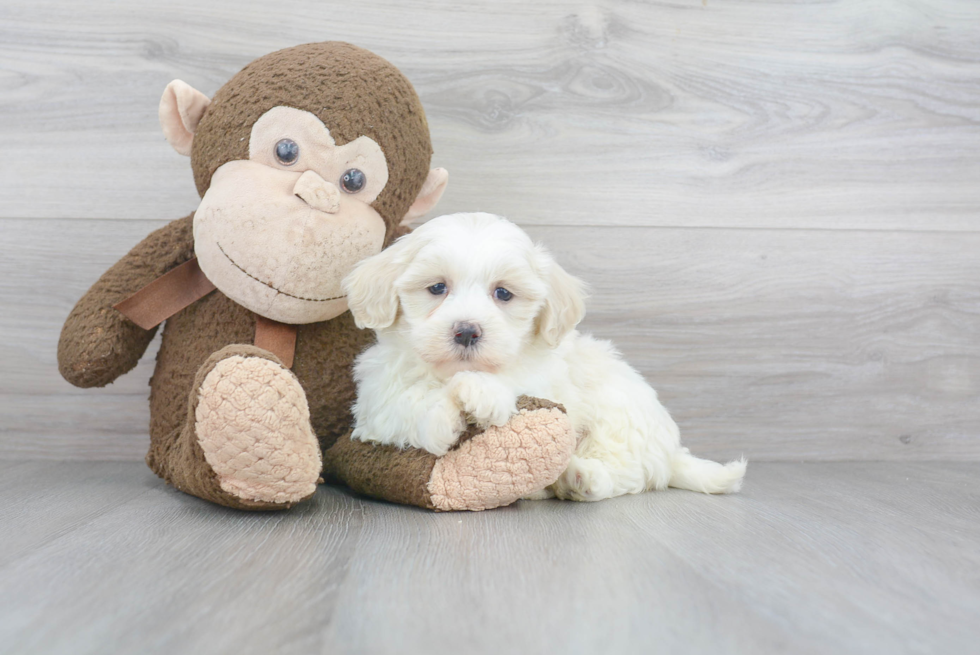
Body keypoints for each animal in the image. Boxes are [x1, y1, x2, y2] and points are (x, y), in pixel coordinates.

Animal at [340, 213, 748, 500]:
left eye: (503, 294)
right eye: (437, 287)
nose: (467, 331)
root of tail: (672, 452)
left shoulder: (543, 382)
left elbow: (511, 387)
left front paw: (482, 393)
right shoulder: (376, 398)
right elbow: (403, 404)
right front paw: (441, 418)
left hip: (621, 412)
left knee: (627, 473)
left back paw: (579, 478)